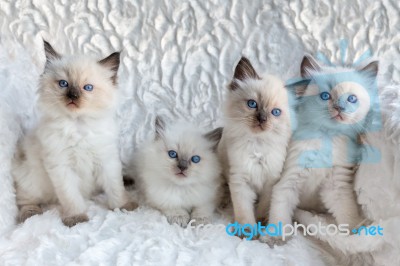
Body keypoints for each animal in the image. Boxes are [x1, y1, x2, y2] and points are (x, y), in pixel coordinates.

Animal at [12, 39, 138, 227]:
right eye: (63, 84)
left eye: (88, 87)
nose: (73, 96)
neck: (79, 126)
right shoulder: (62, 167)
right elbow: (71, 198)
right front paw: (76, 218)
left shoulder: (106, 161)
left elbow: (115, 188)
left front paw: (124, 206)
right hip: (31, 180)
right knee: (25, 200)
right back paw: (30, 214)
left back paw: (128, 180)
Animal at [219, 57, 294, 230]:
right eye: (252, 104)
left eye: (276, 112)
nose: (262, 119)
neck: (258, 145)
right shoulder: (240, 180)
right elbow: (244, 212)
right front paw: (247, 232)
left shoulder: (270, 182)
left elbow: (263, 207)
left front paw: (261, 222)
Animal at [262, 54, 378, 245]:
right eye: (325, 96)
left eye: (351, 99)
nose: (339, 108)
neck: (326, 137)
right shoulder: (288, 182)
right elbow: (279, 214)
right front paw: (276, 238)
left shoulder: (336, 186)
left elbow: (347, 214)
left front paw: (355, 234)